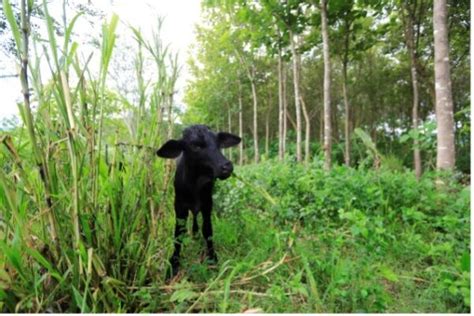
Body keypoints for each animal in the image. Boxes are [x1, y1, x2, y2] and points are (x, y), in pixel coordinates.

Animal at [157, 124, 241, 276]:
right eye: (195, 146)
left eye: (218, 143)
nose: (227, 166)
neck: (195, 184)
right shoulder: (179, 207)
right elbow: (178, 234)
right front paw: (173, 264)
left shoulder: (207, 205)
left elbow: (208, 232)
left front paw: (212, 259)